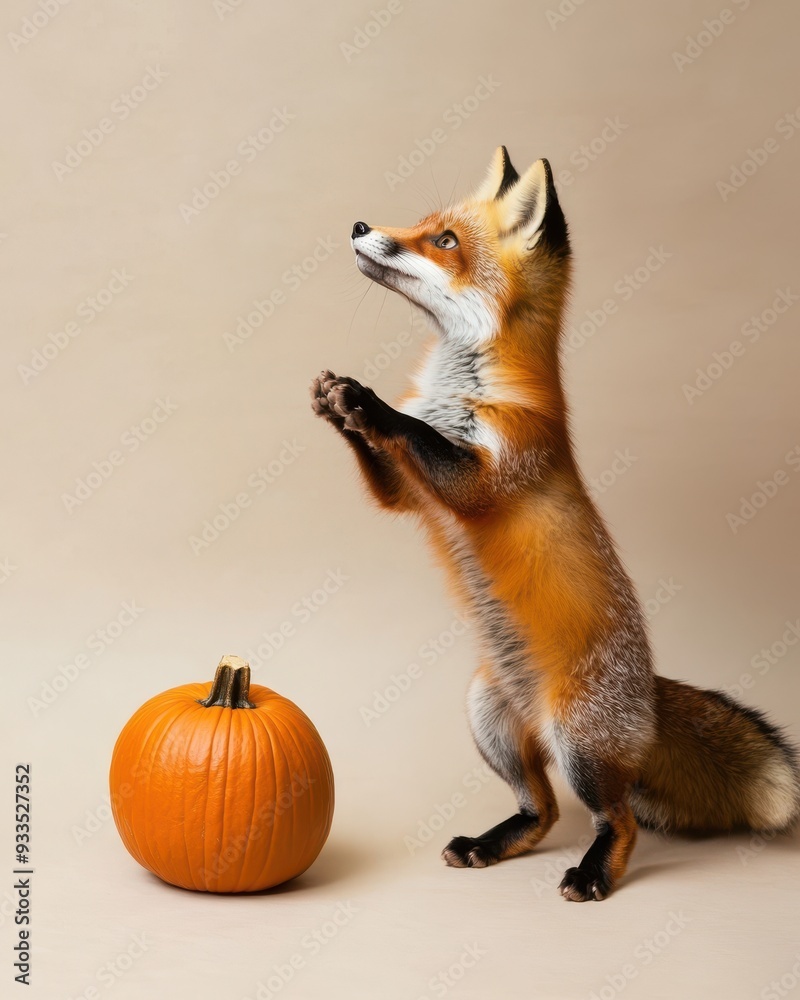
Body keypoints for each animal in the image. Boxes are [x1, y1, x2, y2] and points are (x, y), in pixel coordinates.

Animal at [310, 146, 800, 900]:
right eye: (424, 224)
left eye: (443, 241)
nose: (362, 225)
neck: (464, 387)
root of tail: (647, 695)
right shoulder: (412, 495)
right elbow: (392, 473)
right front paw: (339, 403)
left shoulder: (491, 474)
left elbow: (419, 434)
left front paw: (368, 402)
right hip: (490, 719)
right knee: (537, 811)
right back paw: (490, 844)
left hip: (579, 749)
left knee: (617, 821)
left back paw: (593, 874)